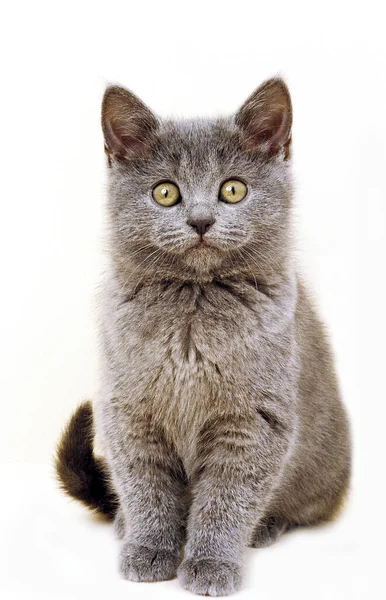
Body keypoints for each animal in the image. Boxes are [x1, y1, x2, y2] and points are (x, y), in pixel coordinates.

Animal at [55, 78, 352, 596]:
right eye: (165, 192)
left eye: (232, 189)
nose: (200, 220)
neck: (192, 315)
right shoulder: (130, 413)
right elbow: (146, 486)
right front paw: (150, 548)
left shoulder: (252, 420)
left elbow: (226, 497)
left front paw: (211, 562)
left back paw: (268, 526)